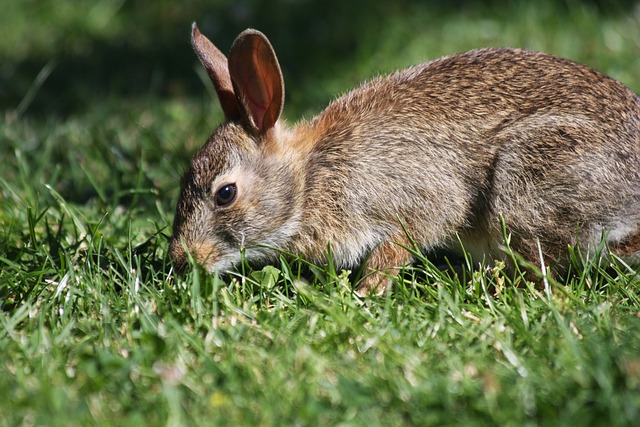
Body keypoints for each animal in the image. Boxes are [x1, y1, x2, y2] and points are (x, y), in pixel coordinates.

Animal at [169, 23, 640, 294]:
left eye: (225, 194)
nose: (180, 259)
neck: (310, 179)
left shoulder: (412, 202)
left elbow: (400, 244)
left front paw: (366, 292)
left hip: (527, 179)